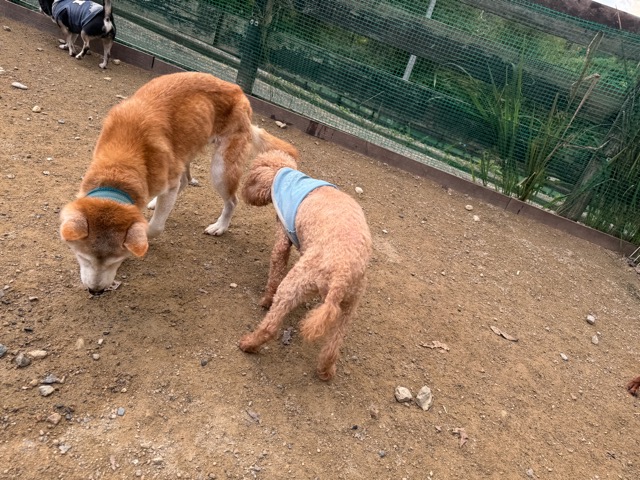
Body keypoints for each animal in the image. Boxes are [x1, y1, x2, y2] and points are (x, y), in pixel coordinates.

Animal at [59, 72, 298, 295]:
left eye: (114, 261)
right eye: (83, 257)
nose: (95, 291)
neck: (120, 164)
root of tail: (238, 90)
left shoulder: (168, 184)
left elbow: (153, 228)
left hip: (220, 170)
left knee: (231, 200)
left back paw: (220, 226)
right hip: (186, 149)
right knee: (185, 181)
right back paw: (155, 202)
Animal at [238, 150, 372, 380]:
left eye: (251, 173)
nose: (243, 193)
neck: (289, 178)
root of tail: (341, 274)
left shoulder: (283, 239)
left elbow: (276, 269)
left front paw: (265, 300)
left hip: (295, 281)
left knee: (271, 325)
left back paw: (248, 343)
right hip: (349, 306)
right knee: (333, 344)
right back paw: (326, 370)